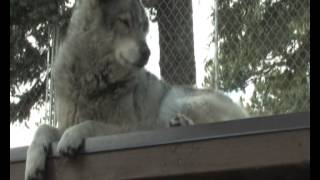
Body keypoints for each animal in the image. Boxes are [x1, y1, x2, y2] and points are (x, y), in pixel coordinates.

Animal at [25, 0, 249, 179]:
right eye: (125, 22)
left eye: (143, 28)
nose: (147, 52)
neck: (94, 79)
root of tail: (246, 113)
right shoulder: (64, 122)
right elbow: (43, 128)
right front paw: (33, 163)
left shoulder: (131, 128)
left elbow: (91, 123)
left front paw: (71, 137)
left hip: (181, 101)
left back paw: (181, 123)